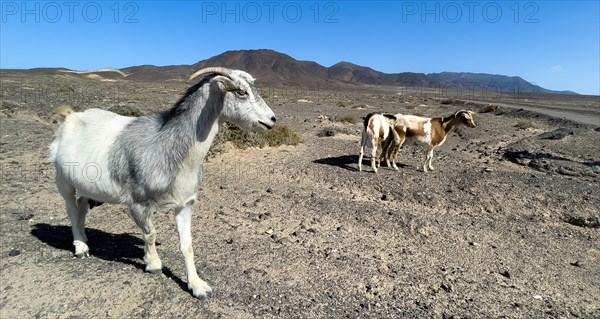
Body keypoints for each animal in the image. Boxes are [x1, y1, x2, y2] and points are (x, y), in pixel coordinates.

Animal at [50, 67, 278, 300]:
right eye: (241, 92)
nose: (272, 120)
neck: (167, 147)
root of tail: (71, 117)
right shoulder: (138, 204)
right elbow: (150, 234)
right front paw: (153, 264)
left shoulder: (185, 205)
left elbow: (187, 245)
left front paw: (198, 286)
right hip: (63, 182)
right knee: (71, 208)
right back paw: (80, 248)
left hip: (91, 189)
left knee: (81, 206)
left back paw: (85, 240)